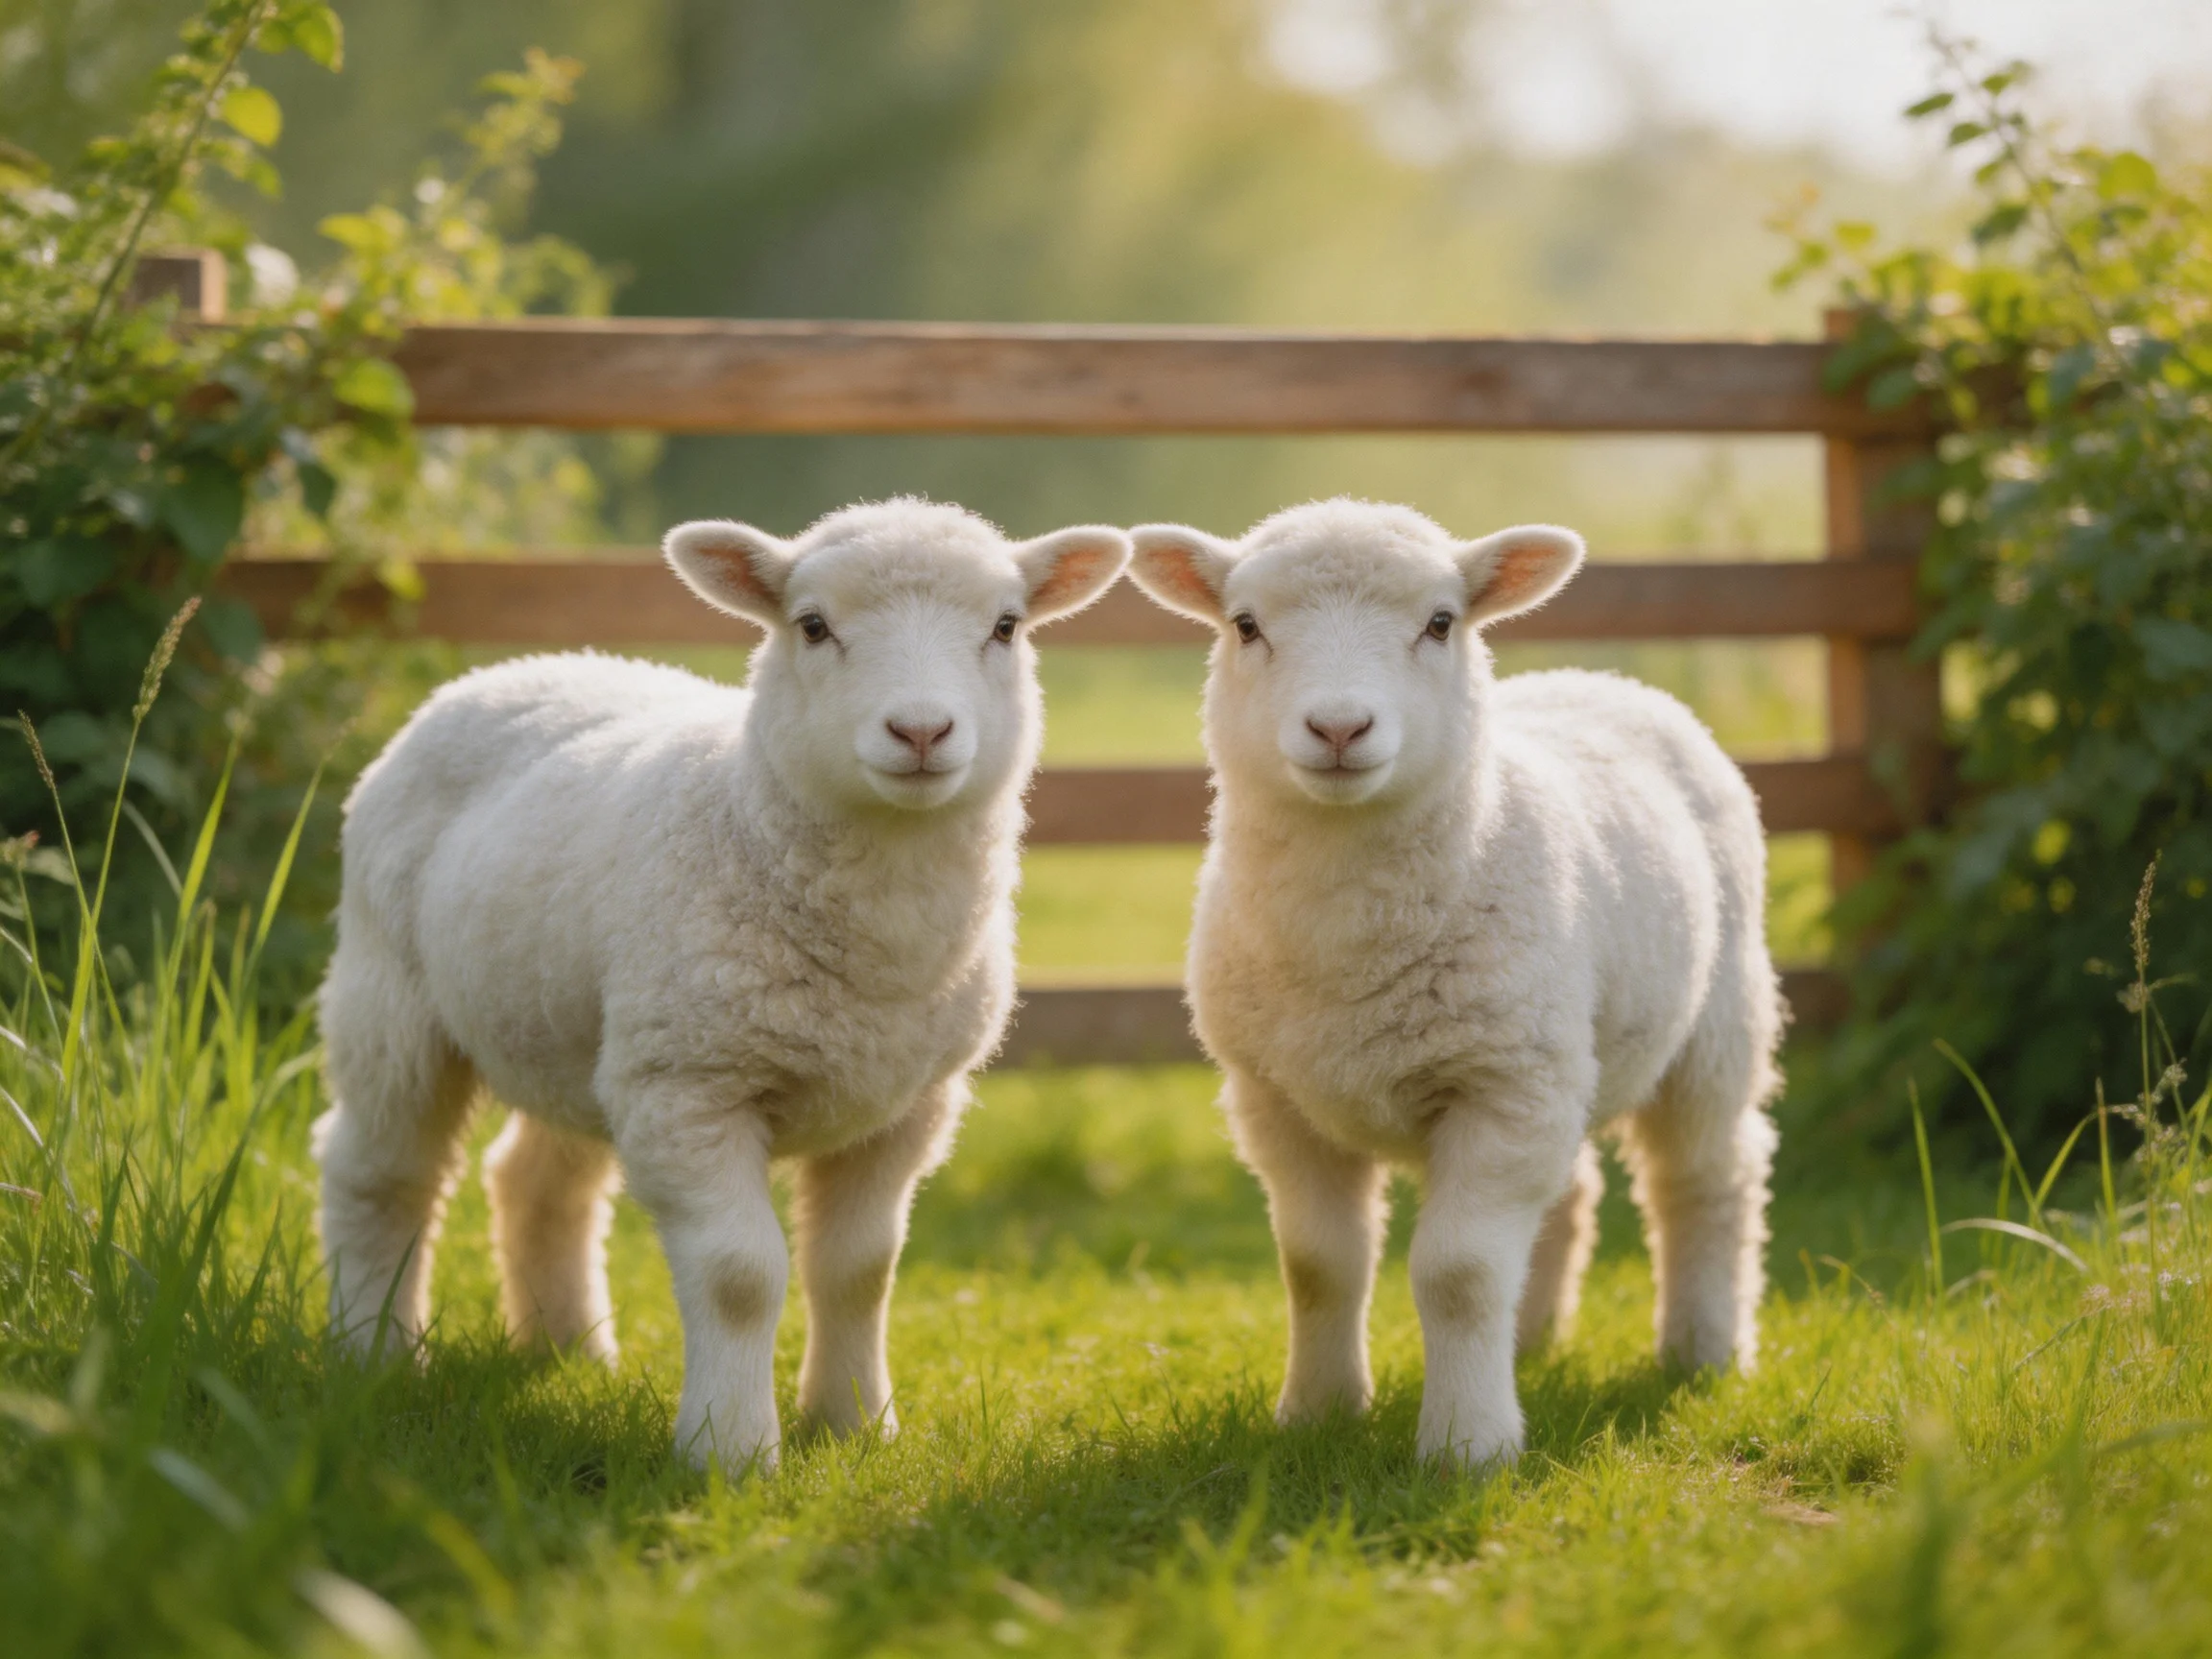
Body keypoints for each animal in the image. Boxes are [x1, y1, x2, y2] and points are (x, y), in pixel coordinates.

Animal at [314, 499, 1130, 1472]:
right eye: (811, 625)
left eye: (1006, 627)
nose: (922, 732)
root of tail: (515, 667)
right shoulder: (693, 1087)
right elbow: (740, 1275)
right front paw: (731, 1454)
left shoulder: (907, 1106)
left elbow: (859, 1269)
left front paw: (857, 1425)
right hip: (392, 995)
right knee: (379, 1172)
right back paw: (372, 1354)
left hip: (576, 1030)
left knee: (537, 1182)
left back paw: (568, 1350)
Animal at [1126, 499, 1781, 1470]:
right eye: (1245, 625)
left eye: (1440, 623)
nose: (1339, 729)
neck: (1349, 942)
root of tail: (1605, 678)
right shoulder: (1277, 1099)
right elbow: (1319, 1267)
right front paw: (1318, 1412)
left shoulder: (1498, 1087)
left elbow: (1458, 1273)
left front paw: (1467, 1445)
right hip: (1557, 1051)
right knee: (1572, 1194)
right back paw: (1533, 1340)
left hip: (1712, 1023)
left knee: (1706, 1177)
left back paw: (1703, 1349)